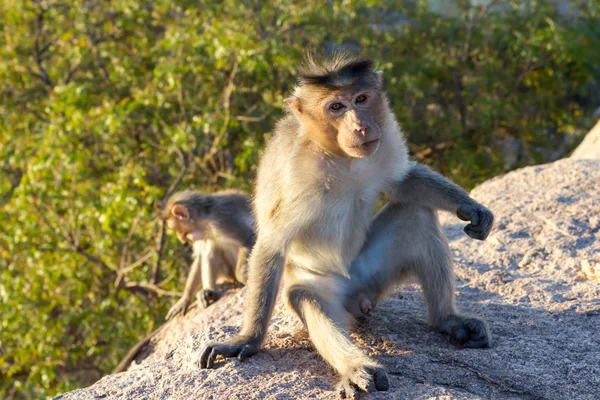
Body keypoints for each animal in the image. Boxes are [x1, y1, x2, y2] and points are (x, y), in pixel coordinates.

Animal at [162, 189, 255, 318]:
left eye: (176, 229)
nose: (180, 239)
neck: (205, 218)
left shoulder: (223, 221)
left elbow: (248, 237)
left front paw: (244, 276)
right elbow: (200, 257)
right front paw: (184, 299)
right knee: (211, 247)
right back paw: (209, 291)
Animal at [199, 54, 494, 400]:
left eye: (362, 99)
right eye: (336, 107)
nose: (361, 125)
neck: (339, 157)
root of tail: (358, 296)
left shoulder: (386, 138)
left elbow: (403, 182)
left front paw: (472, 207)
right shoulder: (297, 175)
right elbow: (273, 245)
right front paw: (247, 339)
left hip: (372, 275)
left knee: (417, 215)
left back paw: (447, 320)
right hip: (323, 283)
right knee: (307, 298)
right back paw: (357, 367)